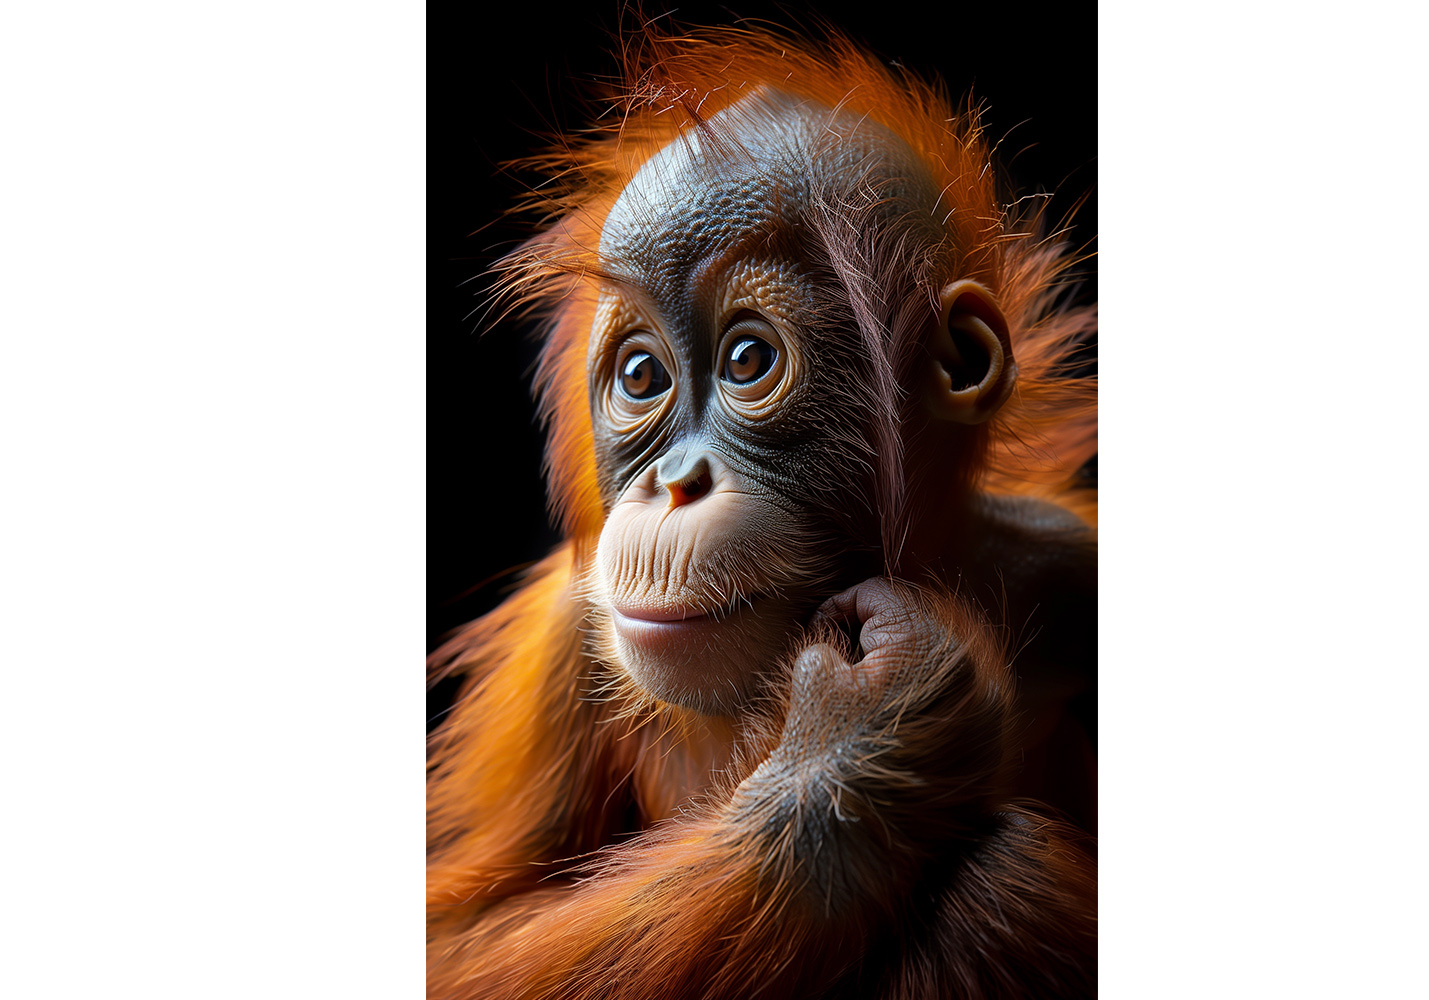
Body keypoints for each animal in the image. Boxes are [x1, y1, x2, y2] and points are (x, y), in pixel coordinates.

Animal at [429, 22, 1097, 999]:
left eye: (748, 360)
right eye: (641, 376)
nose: (675, 483)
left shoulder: (1070, 565)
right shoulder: (565, 632)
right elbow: (454, 934)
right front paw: (859, 750)